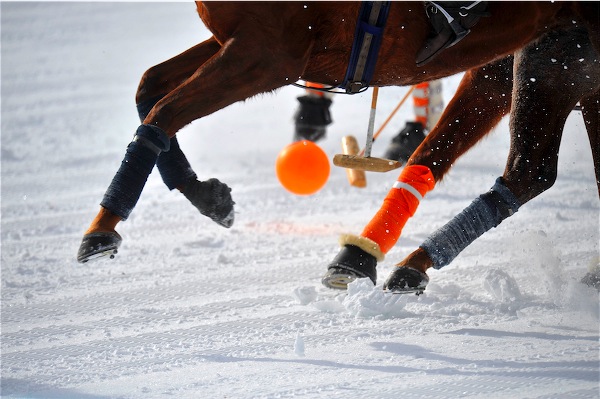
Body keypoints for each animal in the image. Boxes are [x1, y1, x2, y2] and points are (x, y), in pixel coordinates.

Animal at [76, 0, 600, 294]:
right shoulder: (242, 41)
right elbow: (151, 88)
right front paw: (209, 195)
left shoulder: (269, 52)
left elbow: (164, 111)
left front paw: (101, 230)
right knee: (514, 166)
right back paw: (371, 259)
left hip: (556, 49)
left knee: (528, 168)